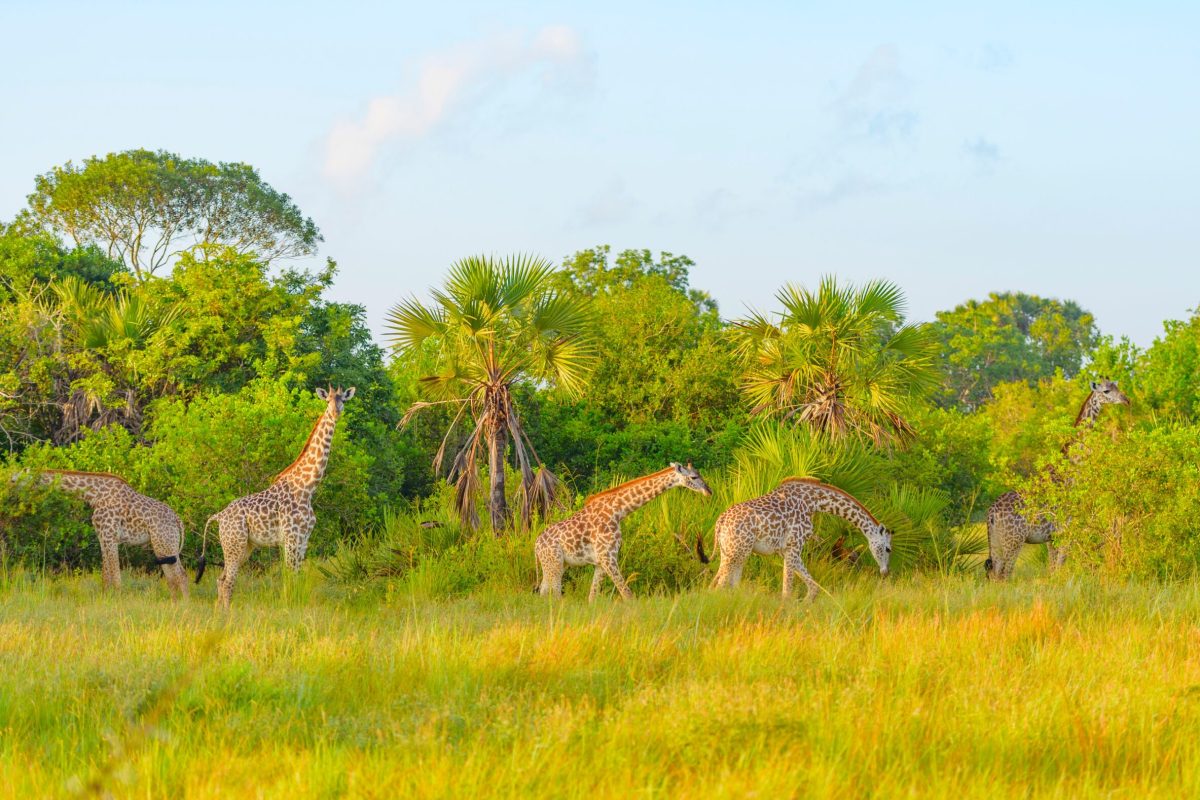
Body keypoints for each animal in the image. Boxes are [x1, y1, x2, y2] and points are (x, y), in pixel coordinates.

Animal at [35, 470, 189, 597]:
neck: (95, 495)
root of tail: (178, 520)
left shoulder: (110, 537)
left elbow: (116, 577)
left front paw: (118, 602)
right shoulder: (102, 538)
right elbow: (106, 576)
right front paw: (105, 599)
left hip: (165, 543)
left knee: (181, 576)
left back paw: (184, 607)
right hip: (163, 546)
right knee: (172, 578)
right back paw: (174, 605)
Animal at [197, 385, 355, 609]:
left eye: (343, 400)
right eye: (328, 400)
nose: (335, 412)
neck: (307, 487)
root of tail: (218, 516)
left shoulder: (303, 538)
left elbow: (297, 577)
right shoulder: (291, 537)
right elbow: (290, 577)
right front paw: (288, 607)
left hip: (244, 546)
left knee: (221, 579)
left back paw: (220, 612)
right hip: (234, 543)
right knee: (227, 581)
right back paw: (226, 614)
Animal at [535, 462, 712, 601]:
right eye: (694, 477)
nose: (709, 491)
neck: (618, 511)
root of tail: (536, 545)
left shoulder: (600, 561)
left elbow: (592, 597)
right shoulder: (608, 557)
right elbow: (627, 594)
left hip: (556, 564)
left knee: (544, 592)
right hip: (554, 563)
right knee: (554, 594)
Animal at [697, 477, 891, 600]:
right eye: (888, 549)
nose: (885, 572)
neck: (814, 503)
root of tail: (720, 521)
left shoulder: (787, 550)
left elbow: (813, 588)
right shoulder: (794, 546)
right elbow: (788, 591)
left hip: (732, 551)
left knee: (725, 583)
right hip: (737, 551)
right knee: (720, 584)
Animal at [985, 379, 1130, 580]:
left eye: (1117, 386)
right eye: (1106, 391)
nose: (1126, 400)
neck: (1071, 467)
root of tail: (991, 514)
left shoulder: (1051, 537)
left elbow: (1052, 570)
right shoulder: (1065, 531)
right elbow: (1059, 568)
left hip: (997, 542)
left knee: (994, 574)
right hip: (1013, 541)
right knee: (1004, 575)